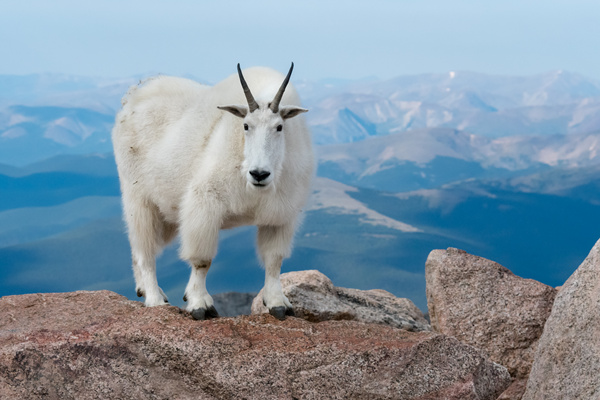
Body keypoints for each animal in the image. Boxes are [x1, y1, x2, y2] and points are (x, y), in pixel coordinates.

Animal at [110, 63, 314, 318]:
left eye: (279, 127)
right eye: (246, 125)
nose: (259, 174)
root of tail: (131, 98)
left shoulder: (280, 215)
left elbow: (274, 260)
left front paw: (277, 303)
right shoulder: (205, 204)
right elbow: (201, 260)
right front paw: (200, 304)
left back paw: (144, 290)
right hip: (138, 197)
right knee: (144, 250)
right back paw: (155, 299)